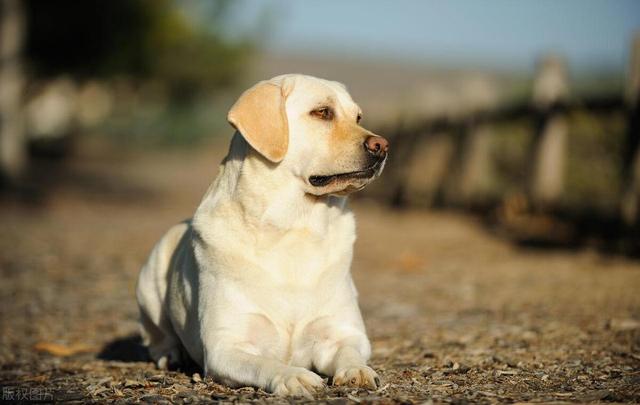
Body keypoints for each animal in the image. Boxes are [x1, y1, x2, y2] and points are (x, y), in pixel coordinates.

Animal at [136, 72, 390, 394]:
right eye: (322, 112)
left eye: (358, 117)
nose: (382, 145)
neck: (294, 227)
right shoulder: (227, 347)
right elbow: (265, 363)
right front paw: (293, 376)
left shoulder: (343, 333)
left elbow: (350, 351)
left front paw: (358, 370)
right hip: (148, 284)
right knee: (157, 338)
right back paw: (171, 354)